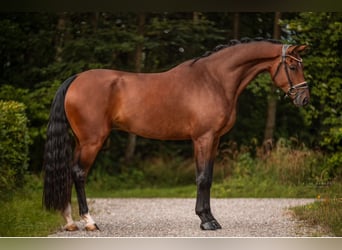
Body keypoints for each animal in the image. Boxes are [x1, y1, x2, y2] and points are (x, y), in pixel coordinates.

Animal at [42, 38, 310, 231]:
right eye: (293, 66)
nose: (304, 99)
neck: (214, 80)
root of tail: (76, 78)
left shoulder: (214, 140)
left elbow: (208, 177)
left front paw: (209, 217)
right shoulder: (203, 138)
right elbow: (203, 178)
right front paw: (207, 221)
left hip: (81, 141)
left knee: (69, 171)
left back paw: (69, 221)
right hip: (92, 141)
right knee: (79, 173)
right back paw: (89, 221)